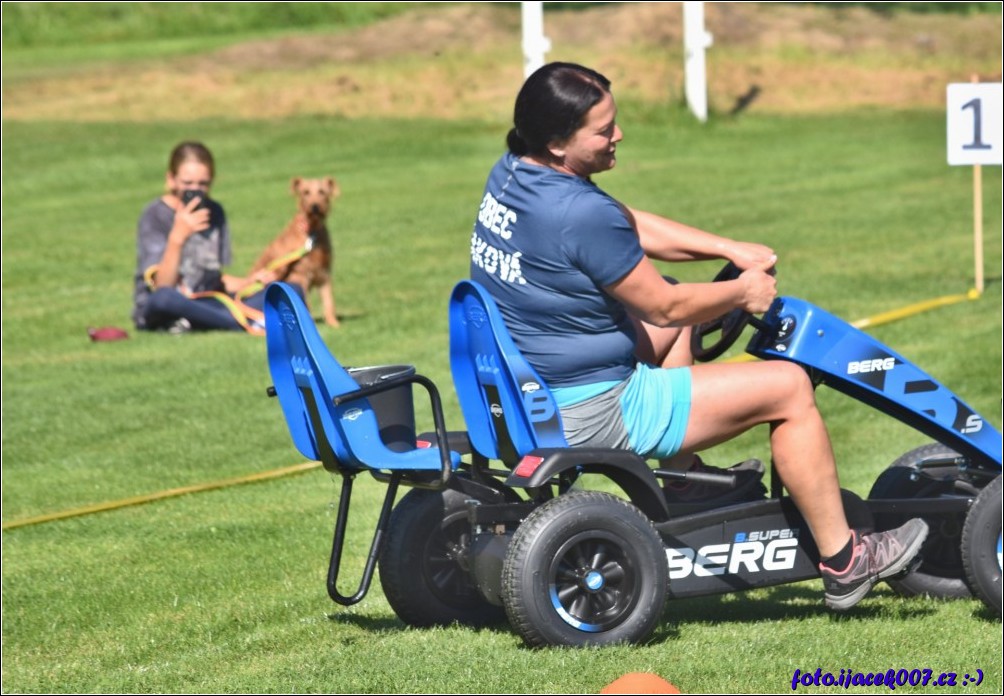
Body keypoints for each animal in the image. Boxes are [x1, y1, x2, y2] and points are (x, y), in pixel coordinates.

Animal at [250, 173, 341, 325]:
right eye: (305, 192)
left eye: (322, 192)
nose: (315, 206)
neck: (310, 233)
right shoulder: (299, 276)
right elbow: (305, 304)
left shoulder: (324, 273)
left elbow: (329, 301)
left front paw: (333, 323)